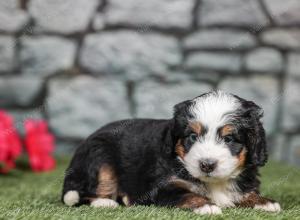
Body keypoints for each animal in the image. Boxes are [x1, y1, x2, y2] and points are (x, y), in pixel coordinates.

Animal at [61, 90, 282, 215]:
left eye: (228, 139)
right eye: (192, 136)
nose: (207, 165)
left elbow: (246, 193)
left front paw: (264, 203)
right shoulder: (163, 186)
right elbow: (185, 194)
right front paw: (205, 205)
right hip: (100, 156)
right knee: (86, 192)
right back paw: (105, 202)